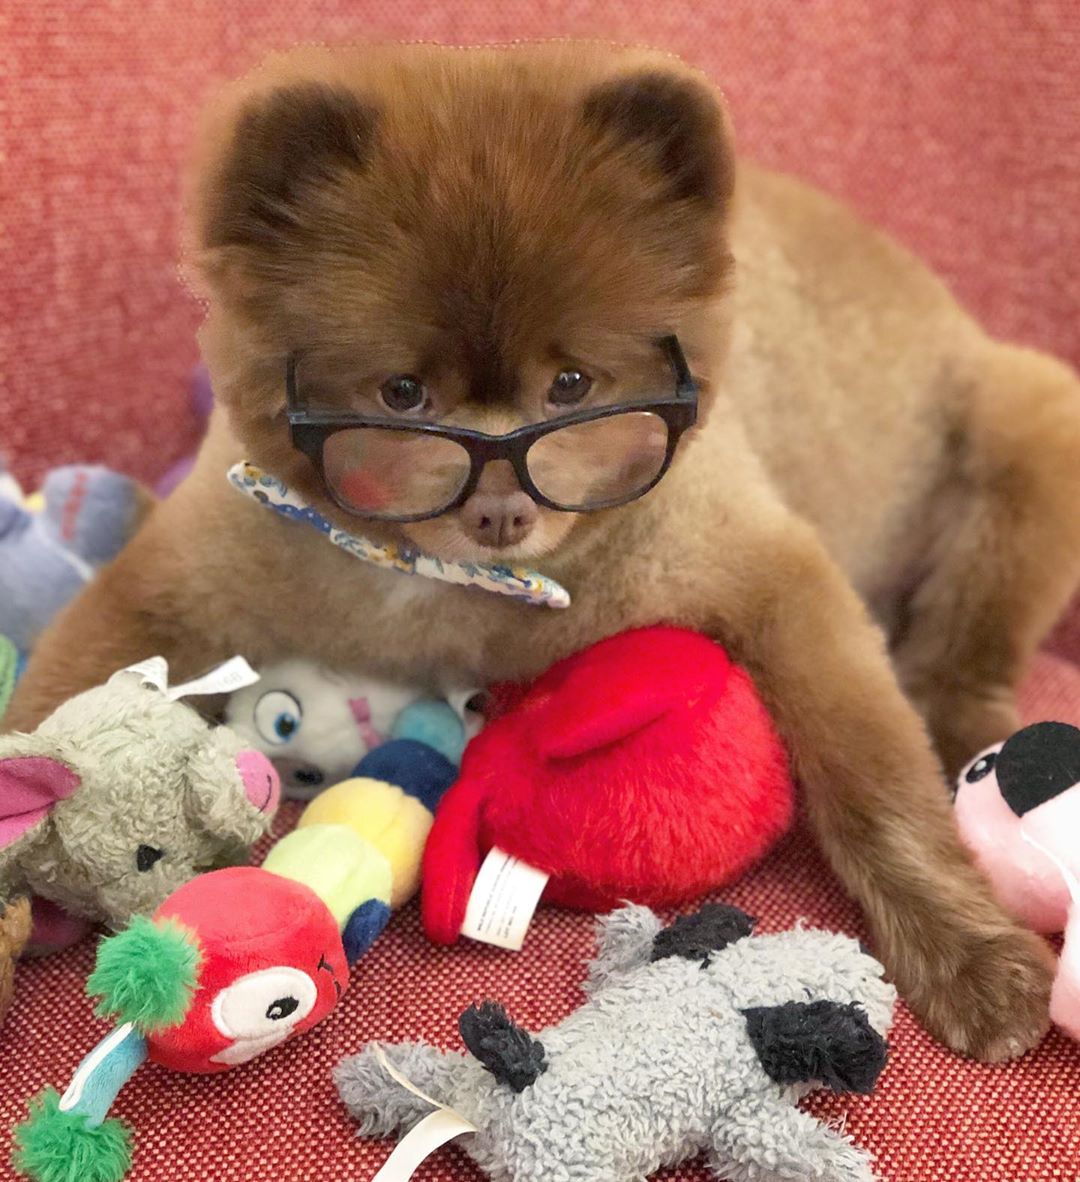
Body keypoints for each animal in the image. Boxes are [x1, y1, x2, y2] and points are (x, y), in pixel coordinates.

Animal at [8, 42, 1080, 1061]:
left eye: (572, 385)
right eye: (403, 394)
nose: (500, 512)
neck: (450, 588)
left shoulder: (773, 578)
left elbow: (871, 780)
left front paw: (970, 952)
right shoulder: (177, 583)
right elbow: (49, 710)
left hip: (1029, 430)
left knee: (965, 643)